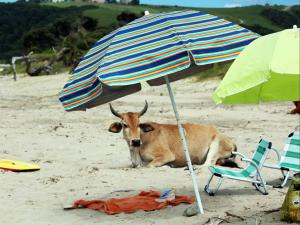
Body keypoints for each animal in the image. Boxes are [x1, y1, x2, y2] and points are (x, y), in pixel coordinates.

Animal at [109, 101, 238, 169]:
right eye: (125, 124)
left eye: (139, 124)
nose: (135, 141)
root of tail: (231, 141)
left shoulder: (167, 156)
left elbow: (149, 165)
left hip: (216, 146)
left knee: (208, 164)